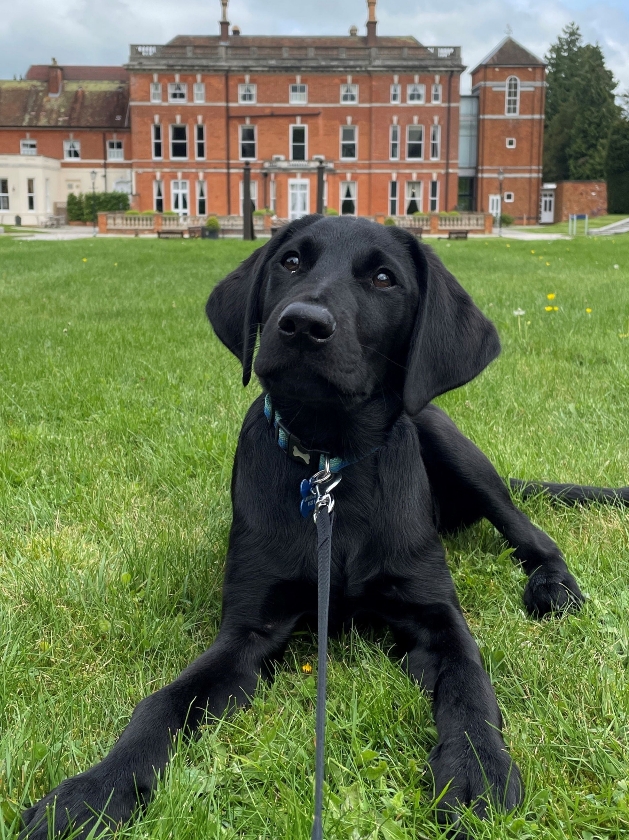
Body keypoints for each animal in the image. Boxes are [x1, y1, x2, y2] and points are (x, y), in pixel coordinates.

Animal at [20, 215, 588, 832]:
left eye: (384, 278)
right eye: (290, 262)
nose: (302, 324)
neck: (328, 467)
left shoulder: (437, 613)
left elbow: (471, 686)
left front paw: (479, 768)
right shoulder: (248, 630)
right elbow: (164, 703)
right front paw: (96, 789)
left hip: (451, 442)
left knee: (530, 532)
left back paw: (555, 586)